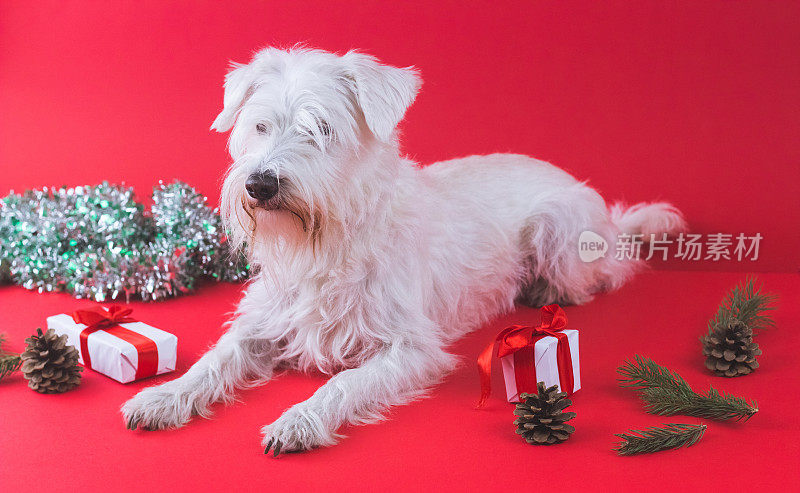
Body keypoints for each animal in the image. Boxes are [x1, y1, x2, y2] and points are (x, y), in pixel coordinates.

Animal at [122, 47, 684, 454]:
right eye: (259, 126)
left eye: (322, 129)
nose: (260, 184)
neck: (324, 244)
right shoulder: (263, 324)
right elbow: (214, 361)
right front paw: (164, 397)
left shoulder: (410, 349)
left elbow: (343, 385)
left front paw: (299, 421)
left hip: (562, 237)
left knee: (614, 269)